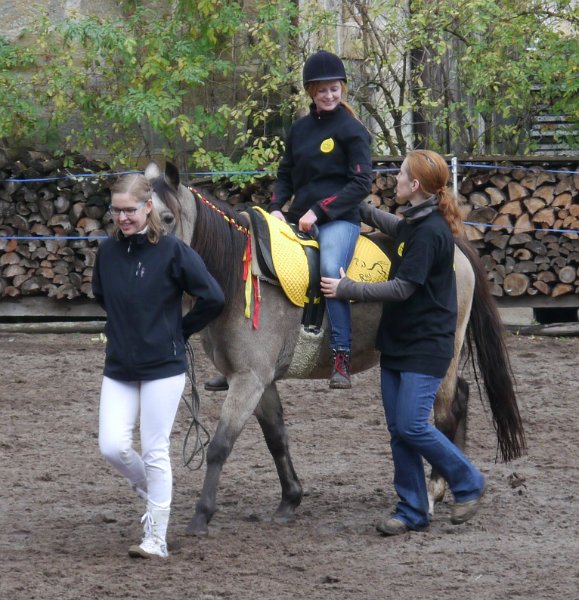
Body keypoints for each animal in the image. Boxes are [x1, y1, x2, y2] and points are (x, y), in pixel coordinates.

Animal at [145, 161, 526, 537]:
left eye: (167, 218)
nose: (151, 262)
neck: (238, 275)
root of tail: (457, 248)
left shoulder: (249, 379)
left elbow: (220, 445)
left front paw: (201, 516)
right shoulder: (260, 382)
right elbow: (276, 438)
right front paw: (290, 500)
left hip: (442, 357)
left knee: (445, 414)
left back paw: (433, 495)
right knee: (459, 399)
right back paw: (451, 489)